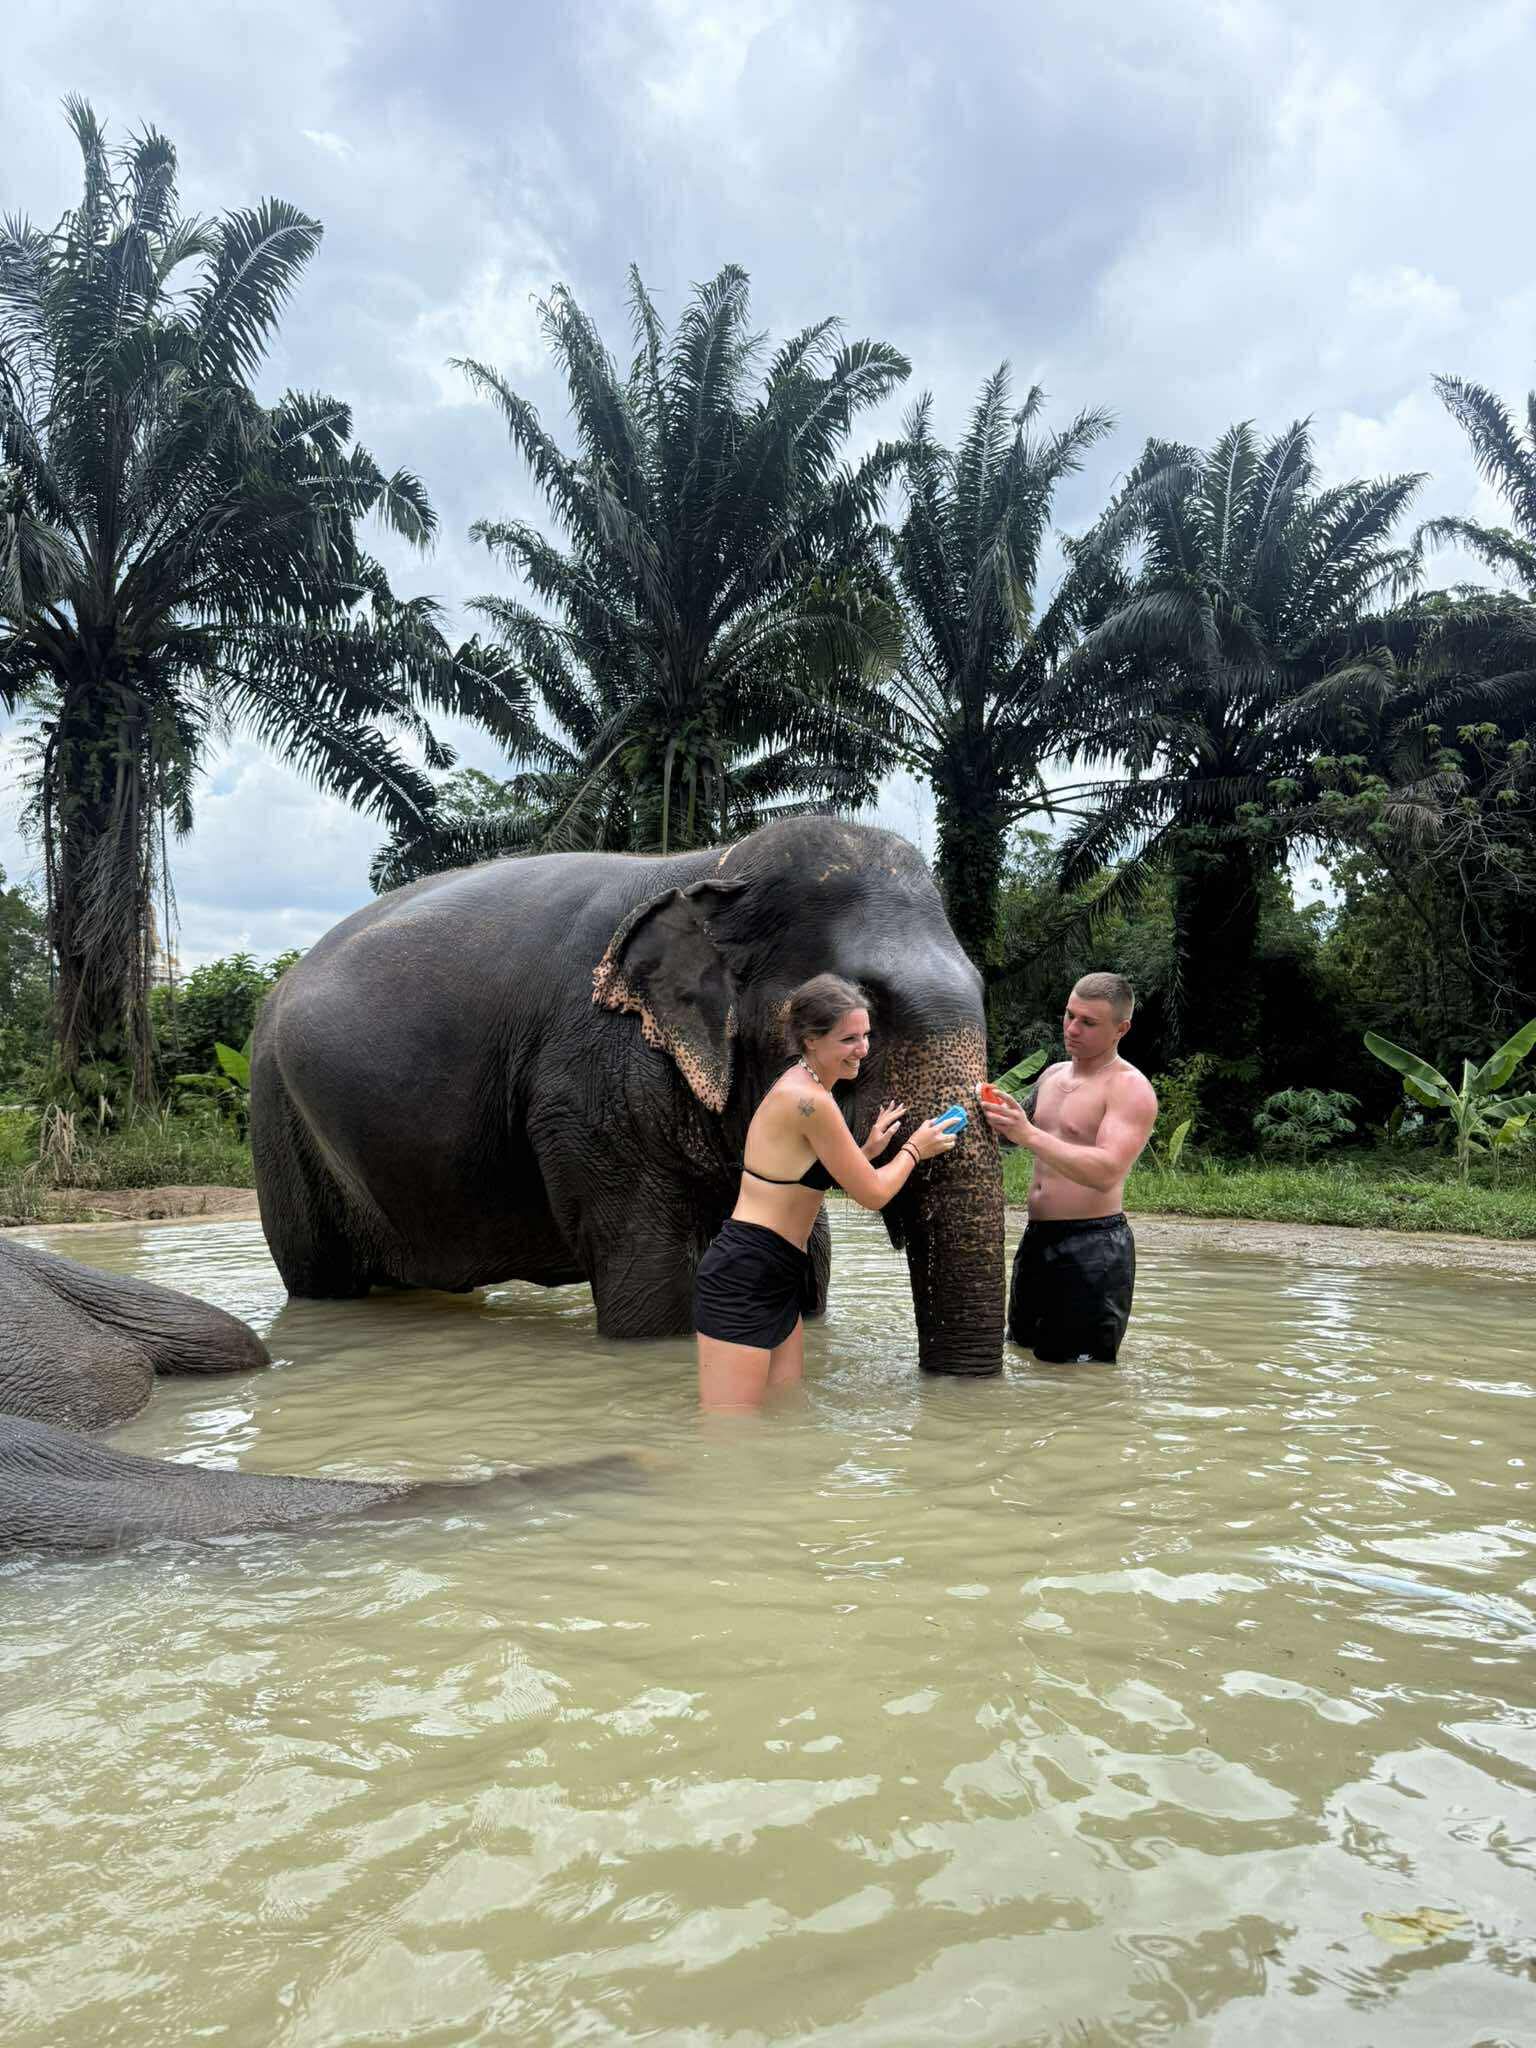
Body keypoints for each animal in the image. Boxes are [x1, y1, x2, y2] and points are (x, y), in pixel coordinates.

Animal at [252, 817, 1004, 1375]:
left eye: (981, 983)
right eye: (867, 1014)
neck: (718, 868)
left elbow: (808, 1265)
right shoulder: (590, 1089)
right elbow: (651, 1292)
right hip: (275, 1111)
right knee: (321, 1277)